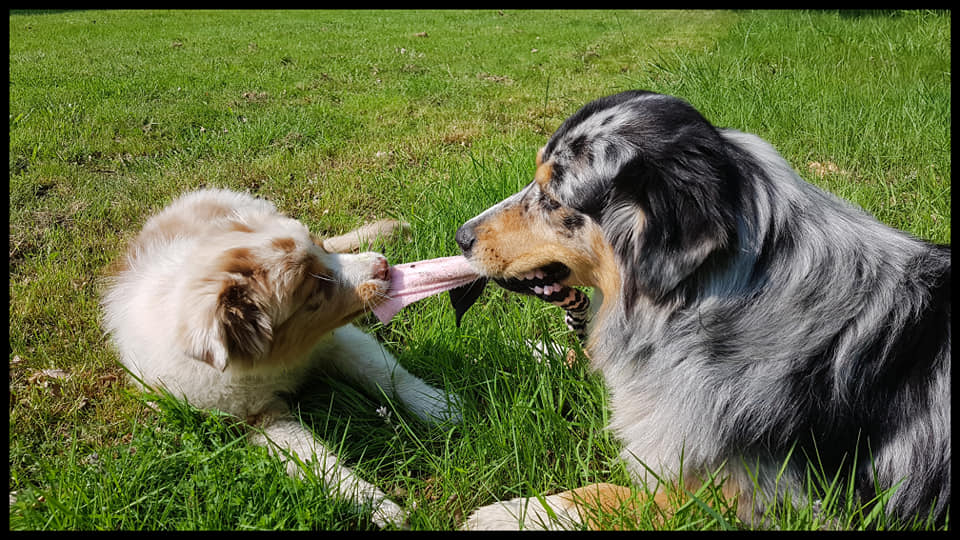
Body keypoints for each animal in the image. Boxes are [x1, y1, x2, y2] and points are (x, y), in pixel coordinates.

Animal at [101, 188, 461, 528]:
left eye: (321, 249)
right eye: (315, 291)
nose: (383, 266)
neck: (279, 361)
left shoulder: (335, 340)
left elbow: (384, 372)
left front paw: (440, 407)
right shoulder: (258, 418)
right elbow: (318, 463)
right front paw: (379, 506)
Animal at [455, 90, 950, 529]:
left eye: (554, 198)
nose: (461, 237)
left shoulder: (773, 501)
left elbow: (610, 495)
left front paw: (513, 513)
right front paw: (538, 351)